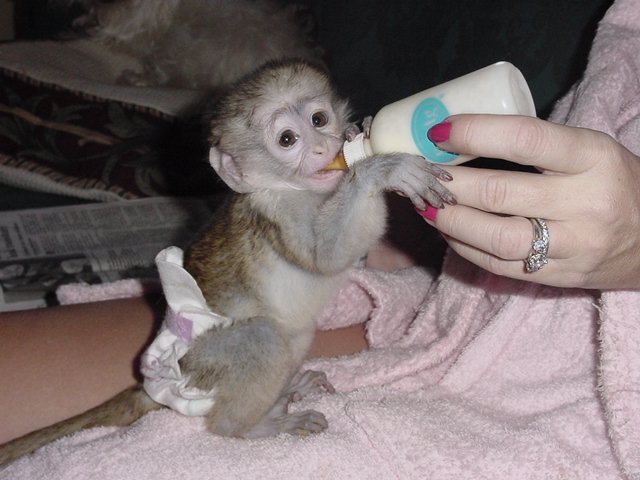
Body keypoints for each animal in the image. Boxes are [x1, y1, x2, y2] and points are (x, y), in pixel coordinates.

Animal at [0, 57, 456, 464]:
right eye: (287, 140)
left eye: (318, 119)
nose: (324, 147)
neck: (302, 190)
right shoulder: (276, 208)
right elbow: (323, 257)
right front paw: (379, 171)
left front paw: (364, 135)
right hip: (203, 362)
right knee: (263, 337)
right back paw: (245, 426)